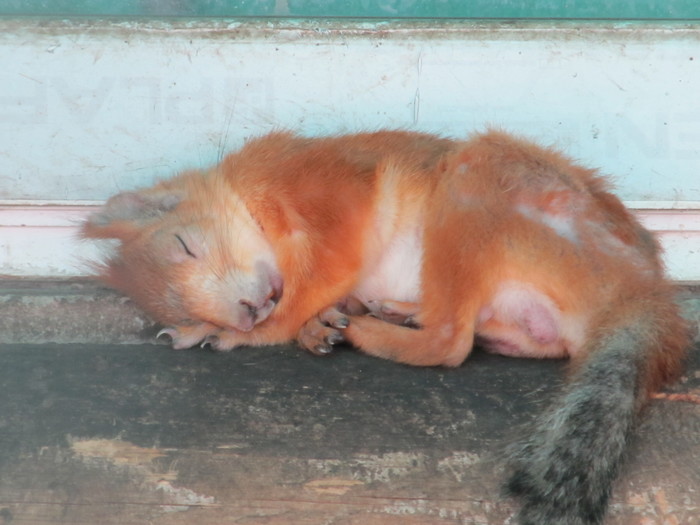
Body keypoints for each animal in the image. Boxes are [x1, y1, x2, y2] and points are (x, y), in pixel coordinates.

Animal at [83, 129, 688, 520]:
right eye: (183, 310)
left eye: (186, 245)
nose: (245, 310)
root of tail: (638, 289)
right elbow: (316, 300)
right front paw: (307, 325)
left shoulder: (328, 202)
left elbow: (312, 284)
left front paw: (245, 333)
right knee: (480, 331)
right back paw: (392, 314)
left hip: (474, 185)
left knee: (450, 343)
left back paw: (370, 329)